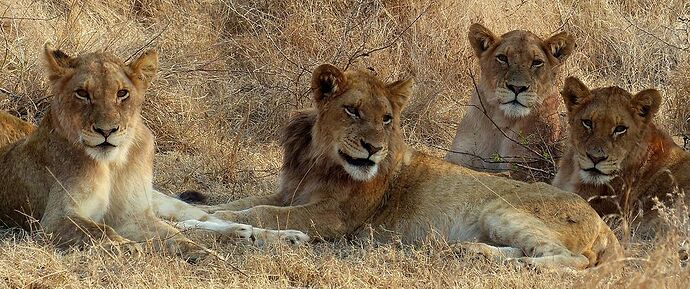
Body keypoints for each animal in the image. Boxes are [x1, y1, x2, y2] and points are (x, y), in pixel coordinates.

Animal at [0, 45, 306, 258]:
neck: (112, 164)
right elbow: (98, 230)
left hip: (160, 201)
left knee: (202, 218)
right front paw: (125, 247)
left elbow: (174, 236)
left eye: (122, 93)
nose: (106, 131)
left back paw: (279, 235)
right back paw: (244, 234)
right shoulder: (55, 219)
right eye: (82, 94)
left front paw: (201, 253)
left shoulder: (134, 215)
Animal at [173, 64, 624, 268]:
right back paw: (471, 251)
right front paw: (196, 209)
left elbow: (261, 213)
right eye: (353, 111)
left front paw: (201, 221)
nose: (373, 149)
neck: (320, 160)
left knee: (571, 260)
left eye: (387, 118)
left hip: (502, 209)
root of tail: (601, 223)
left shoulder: (334, 218)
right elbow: (235, 204)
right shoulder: (289, 191)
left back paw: (516, 264)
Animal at [444, 23, 572, 181]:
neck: (500, 121)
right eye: (502, 58)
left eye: (537, 62)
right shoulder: (458, 154)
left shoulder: (526, 170)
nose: (517, 88)